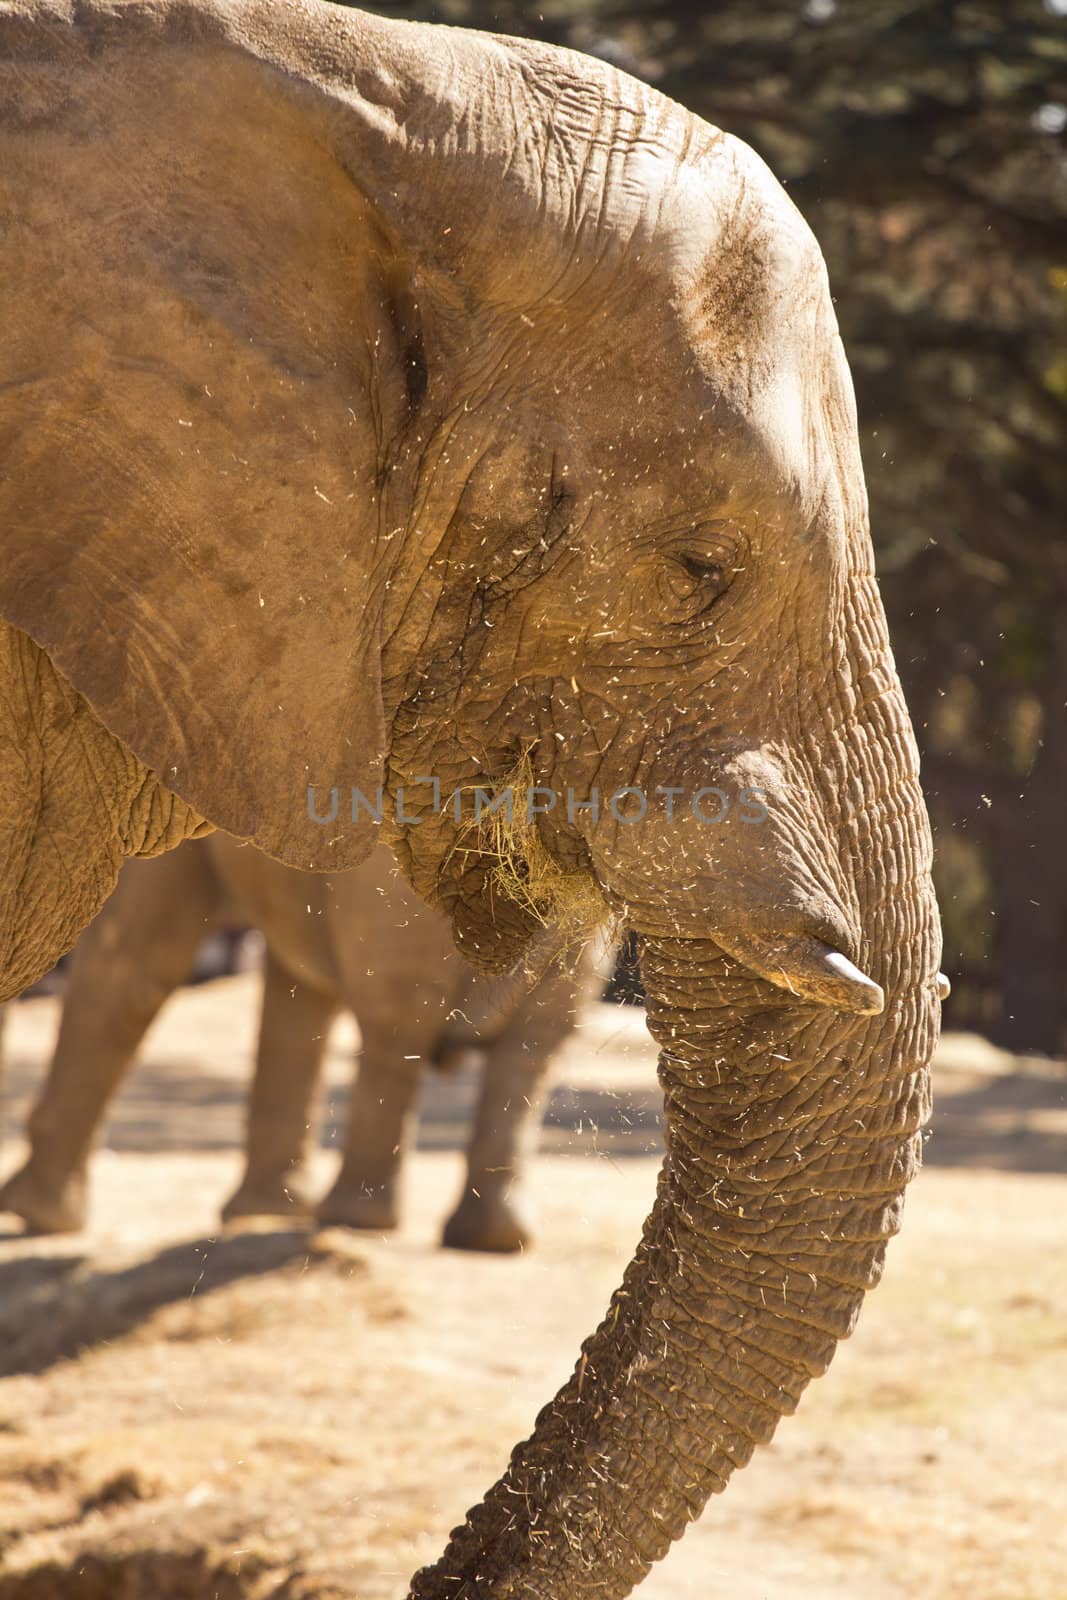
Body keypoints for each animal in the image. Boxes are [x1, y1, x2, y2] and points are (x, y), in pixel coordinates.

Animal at [0, 838, 607, 1248]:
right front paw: (266, 1214)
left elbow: (135, 956)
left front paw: (33, 1217)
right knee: (534, 1035)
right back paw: (484, 1239)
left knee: (402, 1010)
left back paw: (357, 1223)